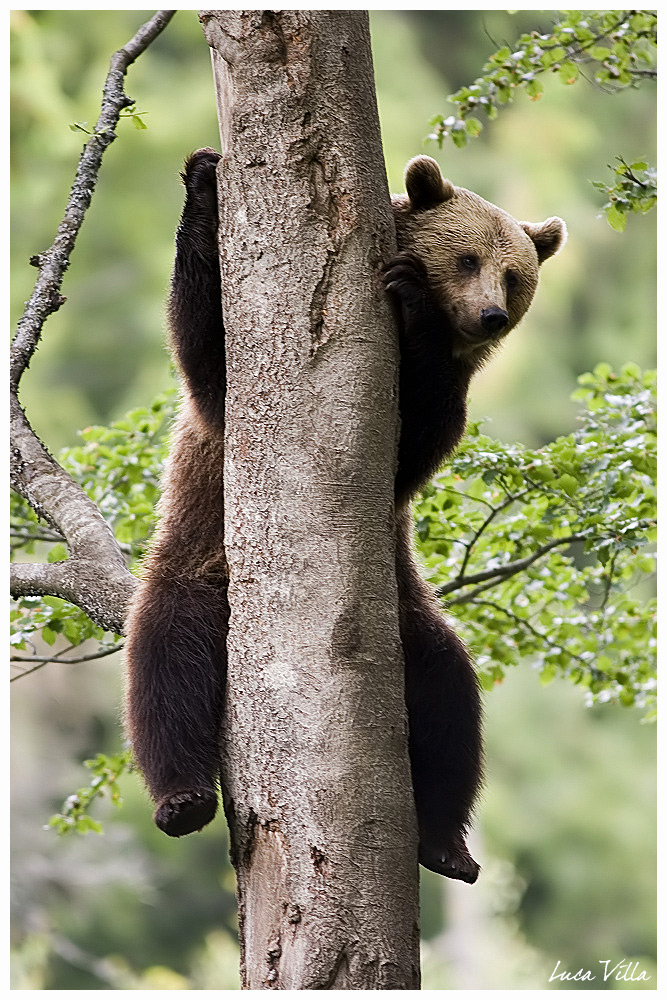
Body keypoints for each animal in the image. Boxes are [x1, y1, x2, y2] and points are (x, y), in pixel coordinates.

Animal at [124, 149, 566, 884]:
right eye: (468, 258)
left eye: (513, 273)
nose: (490, 315)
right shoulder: (227, 421)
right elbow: (209, 355)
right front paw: (203, 182)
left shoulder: (437, 412)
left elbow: (414, 445)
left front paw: (414, 302)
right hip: (199, 561)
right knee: (167, 665)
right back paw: (182, 799)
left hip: (404, 605)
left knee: (449, 697)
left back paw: (446, 844)